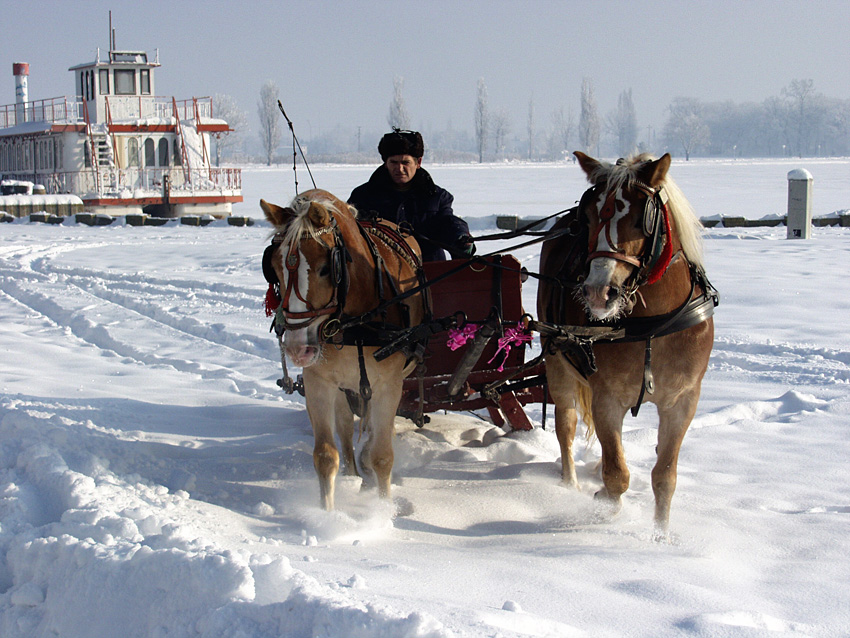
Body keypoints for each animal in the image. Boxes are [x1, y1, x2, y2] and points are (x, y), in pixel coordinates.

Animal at [258, 189, 424, 510]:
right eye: (274, 269)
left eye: (326, 268)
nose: (298, 350)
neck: (353, 324)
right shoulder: (318, 383)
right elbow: (325, 455)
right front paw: (328, 514)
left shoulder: (389, 384)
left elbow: (383, 454)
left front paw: (383, 510)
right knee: (346, 427)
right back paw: (353, 473)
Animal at [536, 151, 716, 536]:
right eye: (588, 217)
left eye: (640, 219)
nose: (597, 292)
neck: (654, 325)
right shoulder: (607, 397)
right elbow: (617, 474)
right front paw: (605, 505)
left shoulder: (683, 401)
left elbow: (665, 477)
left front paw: (660, 536)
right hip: (557, 362)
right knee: (565, 425)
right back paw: (570, 483)